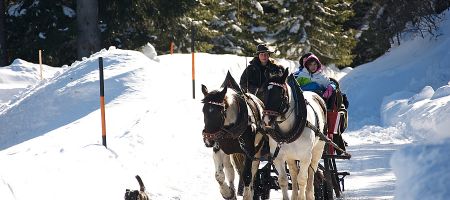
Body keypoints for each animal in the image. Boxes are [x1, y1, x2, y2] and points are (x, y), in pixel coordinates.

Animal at [260, 69, 326, 200]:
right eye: (263, 92)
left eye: (281, 94)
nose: (266, 121)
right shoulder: (278, 157)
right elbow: (283, 180)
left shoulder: (305, 157)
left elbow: (302, 179)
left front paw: (302, 197)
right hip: (290, 156)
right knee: (293, 172)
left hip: (318, 149)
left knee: (311, 173)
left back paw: (309, 194)